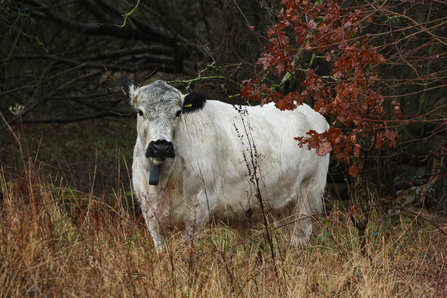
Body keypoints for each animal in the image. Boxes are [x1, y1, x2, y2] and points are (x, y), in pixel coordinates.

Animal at [121, 77, 330, 249]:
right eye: (140, 111)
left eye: (178, 112)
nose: (161, 146)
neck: (165, 180)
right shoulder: (149, 212)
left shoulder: (200, 204)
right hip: (282, 205)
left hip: (309, 192)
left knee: (302, 236)